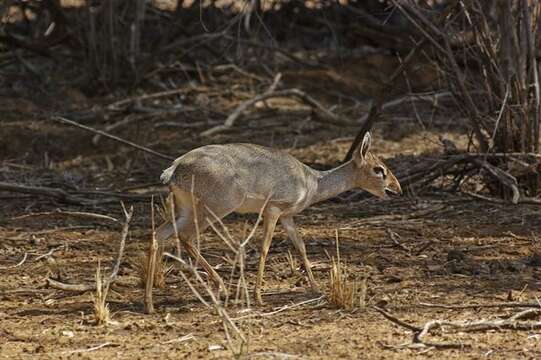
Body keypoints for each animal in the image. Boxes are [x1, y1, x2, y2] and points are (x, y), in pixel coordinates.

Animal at [156, 132, 400, 304]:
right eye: (379, 169)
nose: (397, 189)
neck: (311, 183)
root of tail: (173, 169)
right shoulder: (272, 210)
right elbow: (265, 248)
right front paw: (258, 296)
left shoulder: (287, 216)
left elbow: (301, 247)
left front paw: (316, 288)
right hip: (216, 208)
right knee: (186, 236)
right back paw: (223, 288)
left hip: (185, 208)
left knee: (159, 234)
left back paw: (152, 299)